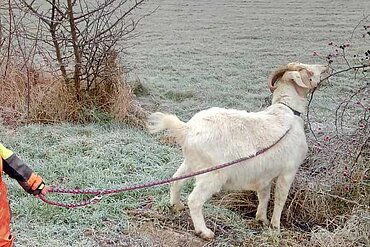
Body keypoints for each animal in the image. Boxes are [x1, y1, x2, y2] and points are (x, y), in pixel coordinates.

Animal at [146, 63, 328, 239]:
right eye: (308, 71)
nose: (326, 68)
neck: (289, 113)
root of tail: (187, 129)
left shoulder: (266, 173)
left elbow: (265, 195)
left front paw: (262, 219)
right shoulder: (289, 170)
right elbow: (280, 198)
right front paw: (275, 227)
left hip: (191, 163)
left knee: (175, 181)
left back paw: (176, 206)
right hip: (213, 173)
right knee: (195, 200)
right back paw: (204, 232)